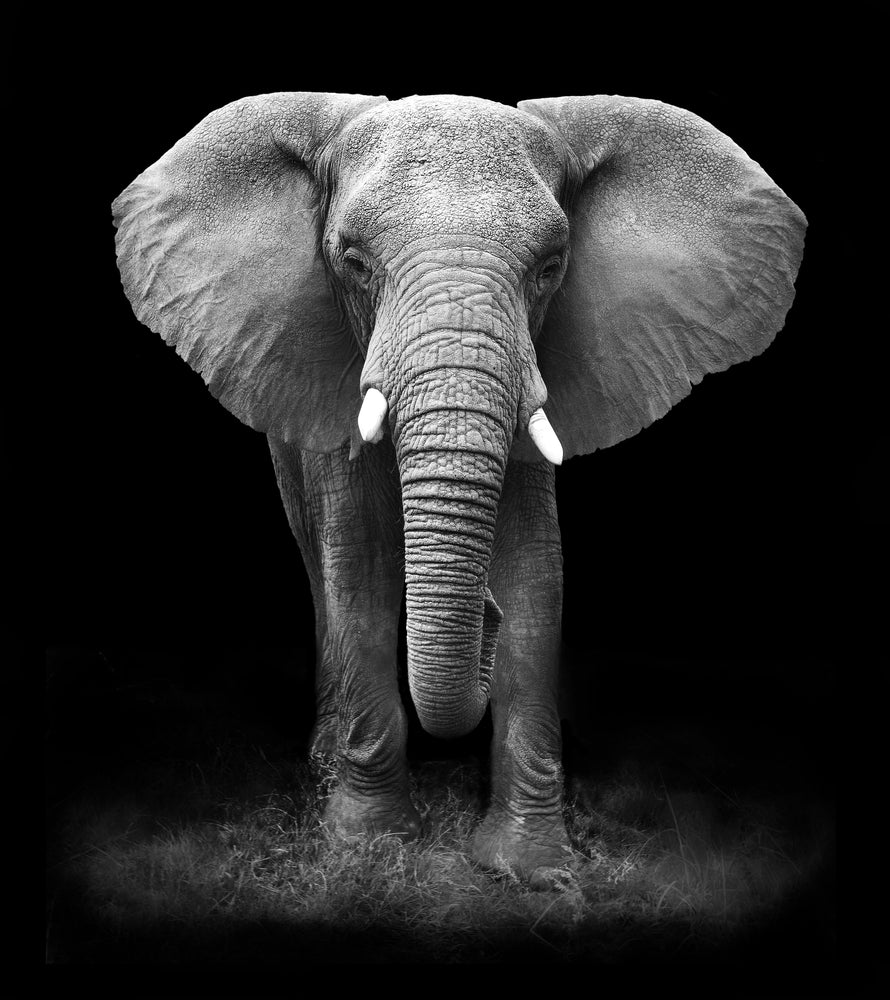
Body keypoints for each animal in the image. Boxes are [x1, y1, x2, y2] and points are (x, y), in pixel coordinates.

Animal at [112, 92, 806, 885]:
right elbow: (361, 570)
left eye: (551, 266)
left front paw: (531, 868)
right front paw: (368, 846)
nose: (484, 618)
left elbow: (536, 574)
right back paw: (324, 766)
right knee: (321, 564)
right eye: (352, 262)